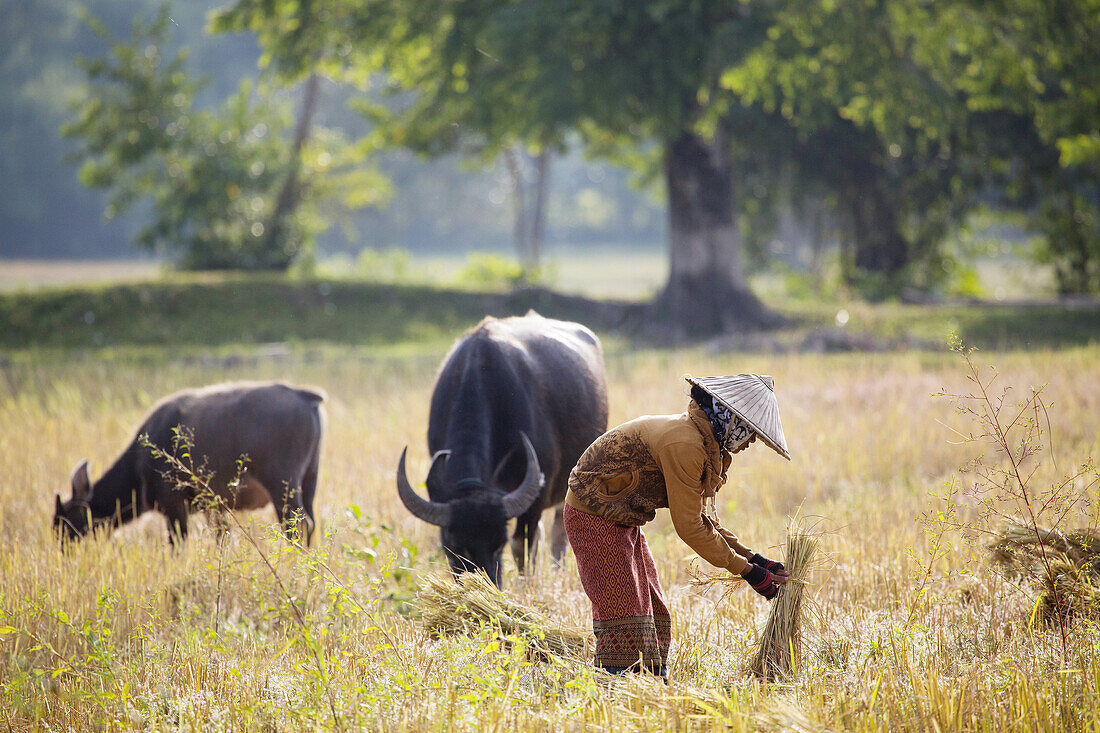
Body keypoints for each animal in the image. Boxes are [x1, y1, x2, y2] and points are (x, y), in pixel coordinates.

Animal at [54, 383, 325, 541]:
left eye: (66, 522)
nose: (63, 548)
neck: (140, 462)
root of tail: (303, 395)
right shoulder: (213, 507)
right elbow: (221, 536)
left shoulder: (174, 506)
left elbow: (178, 540)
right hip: (309, 481)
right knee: (310, 524)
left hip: (283, 486)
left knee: (298, 525)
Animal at [398, 310, 611, 585]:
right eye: (455, 548)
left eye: (498, 544)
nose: (486, 582)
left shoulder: (536, 498)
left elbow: (523, 547)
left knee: (558, 533)